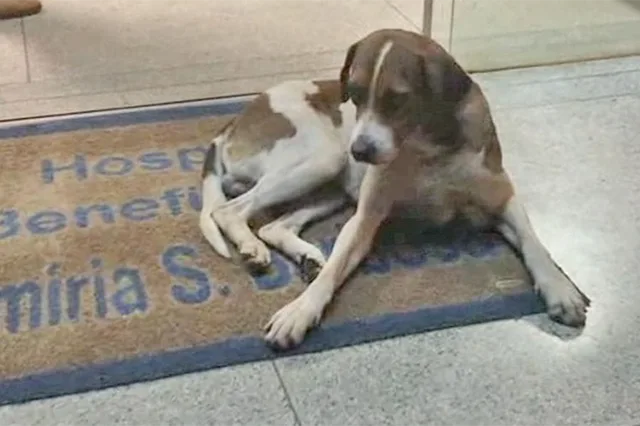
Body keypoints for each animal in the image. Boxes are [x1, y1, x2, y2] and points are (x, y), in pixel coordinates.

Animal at [200, 27, 592, 350]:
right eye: (354, 94)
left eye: (397, 99)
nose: (360, 151)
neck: (429, 147)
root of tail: (235, 121)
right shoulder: (365, 217)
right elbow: (333, 271)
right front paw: (299, 311)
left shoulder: (503, 199)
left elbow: (534, 244)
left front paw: (561, 289)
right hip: (323, 159)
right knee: (229, 210)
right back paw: (252, 248)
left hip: (331, 181)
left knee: (273, 225)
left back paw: (306, 256)